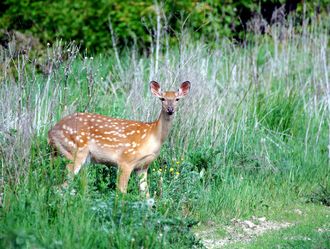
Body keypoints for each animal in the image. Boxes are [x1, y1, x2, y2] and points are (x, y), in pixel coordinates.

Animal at [47, 81, 189, 198]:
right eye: (162, 99)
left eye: (177, 99)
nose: (170, 109)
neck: (153, 136)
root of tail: (51, 132)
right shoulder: (126, 160)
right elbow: (121, 191)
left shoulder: (143, 167)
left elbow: (146, 195)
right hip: (76, 149)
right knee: (63, 180)